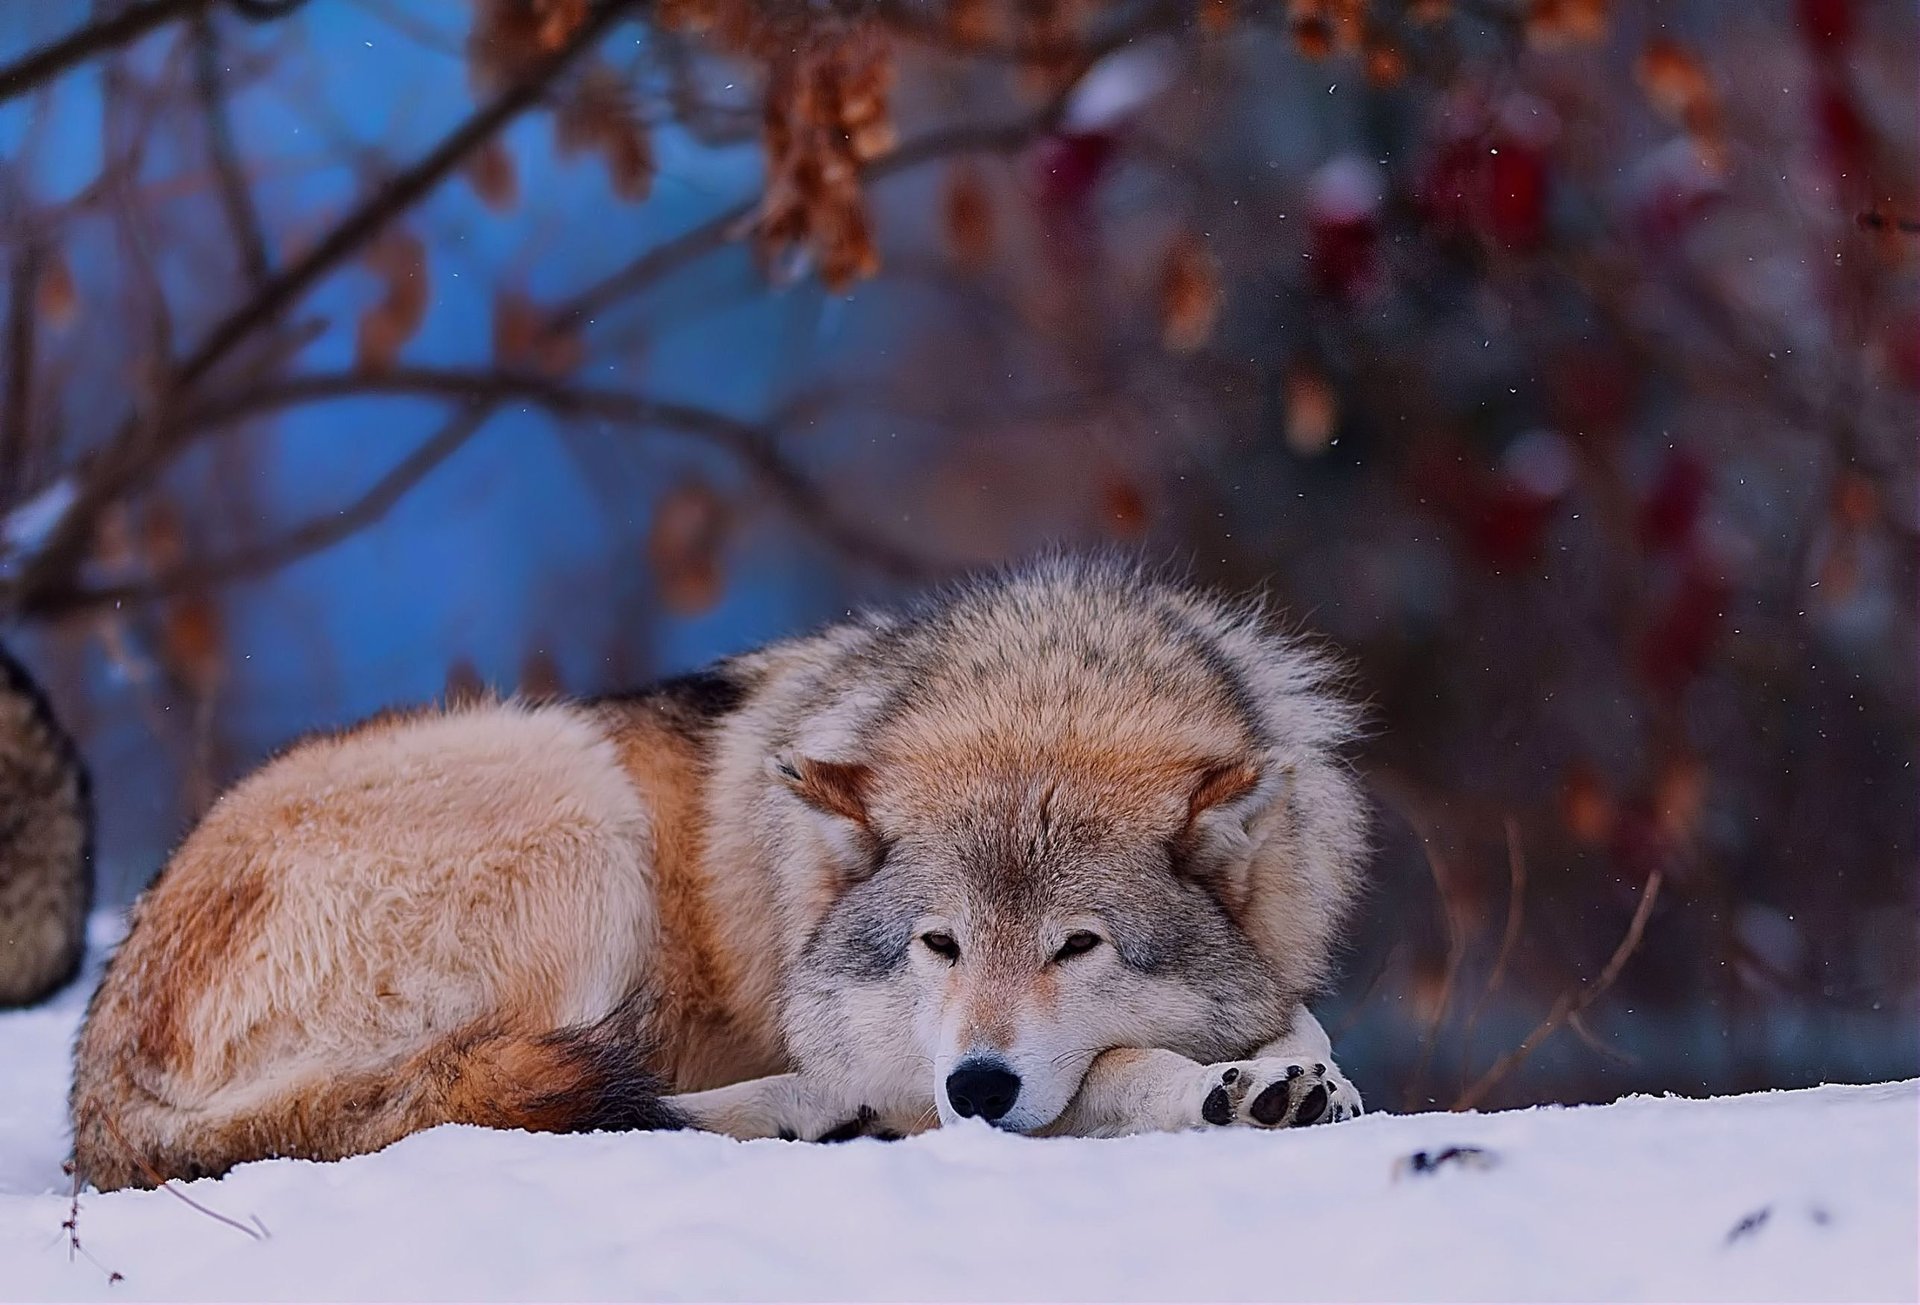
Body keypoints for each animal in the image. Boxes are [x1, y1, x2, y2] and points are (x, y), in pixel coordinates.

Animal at [70, 555, 1369, 1190]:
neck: (1047, 683)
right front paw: (1228, 1090)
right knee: (525, 1105)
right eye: (938, 944)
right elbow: (1108, 1071)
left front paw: (1293, 1073)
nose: (978, 1084)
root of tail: (97, 1074)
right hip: (576, 805)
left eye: (1078, 945)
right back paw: (814, 1114)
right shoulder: (910, 1056)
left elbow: (1297, 1016)